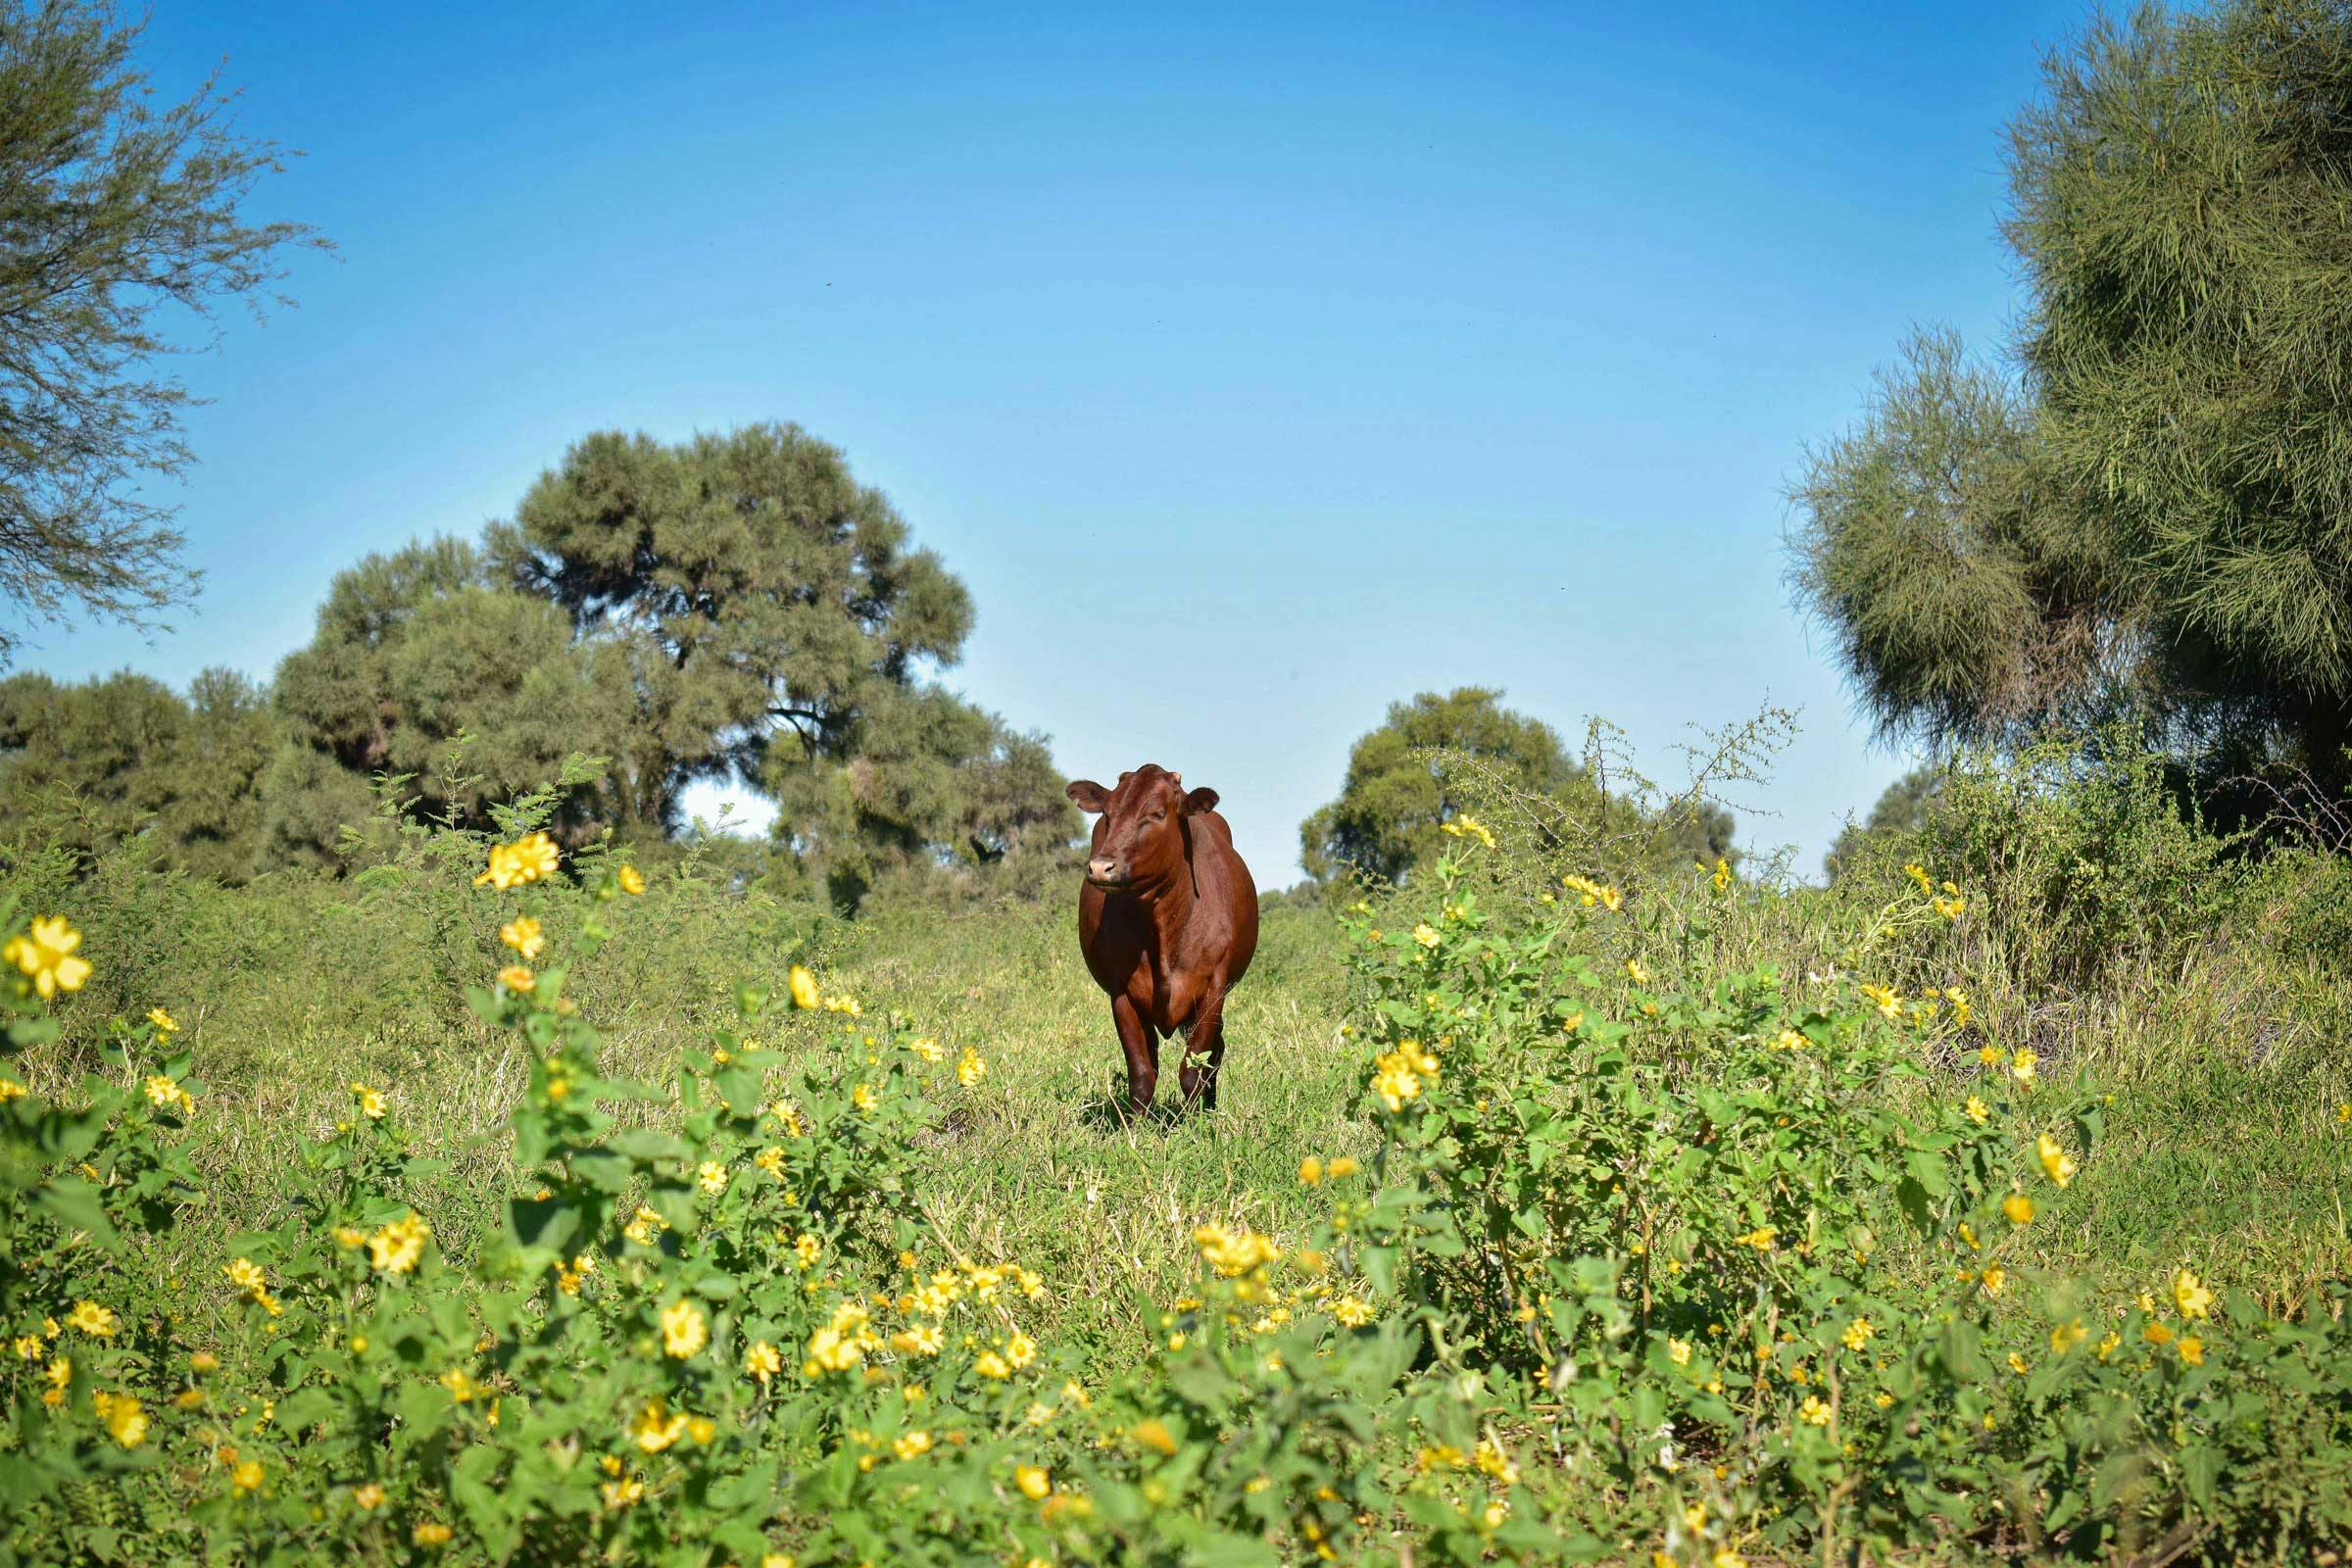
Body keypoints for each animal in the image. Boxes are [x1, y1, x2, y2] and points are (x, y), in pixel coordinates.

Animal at [1072, 761, 1260, 1114]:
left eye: (1157, 814)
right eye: (1107, 813)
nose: (1101, 867)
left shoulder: (1214, 988)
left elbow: (1193, 1070)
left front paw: (1195, 1121)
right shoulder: (1121, 993)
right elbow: (1142, 1074)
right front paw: (1135, 1126)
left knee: (1214, 1053)